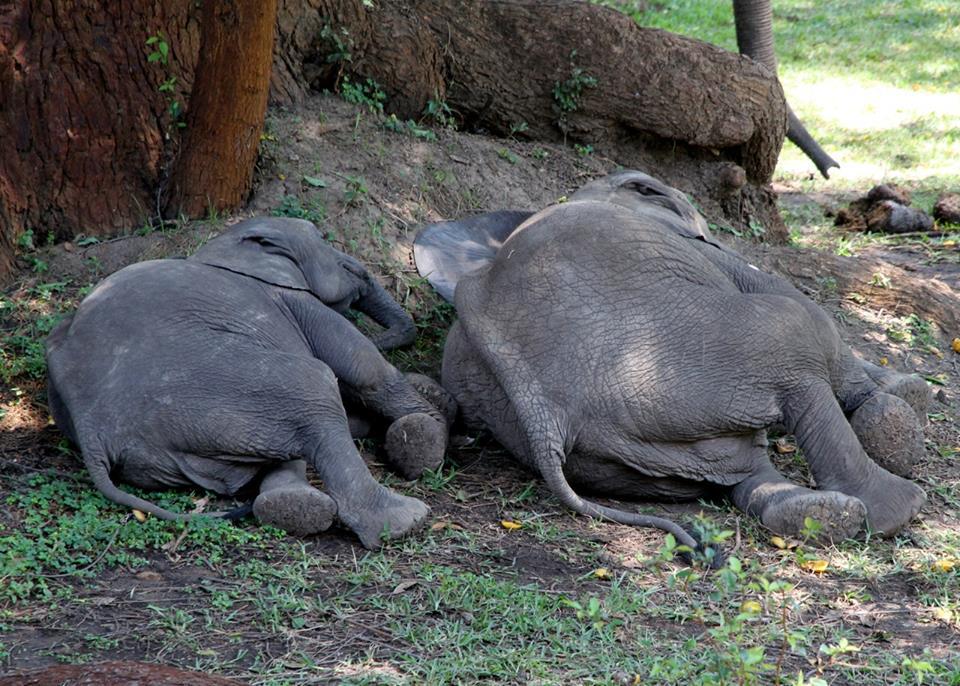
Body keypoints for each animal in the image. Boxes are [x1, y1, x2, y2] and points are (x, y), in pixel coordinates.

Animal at [46, 217, 452, 549]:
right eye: (331, 249)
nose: (357, 271)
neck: (224, 241)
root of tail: (92, 431)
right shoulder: (290, 298)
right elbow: (364, 369)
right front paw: (437, 425)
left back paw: (292, 507)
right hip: (215, 384)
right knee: (316, 389)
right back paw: (407, 515)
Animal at [414, 171, 929, 550]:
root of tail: (544, 419)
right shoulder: (714, 256)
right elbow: (793, 298)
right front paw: (909, 390)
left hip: (629, 437)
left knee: (740, 467)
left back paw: (821, 515)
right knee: (797, 336)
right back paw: (896, 502)